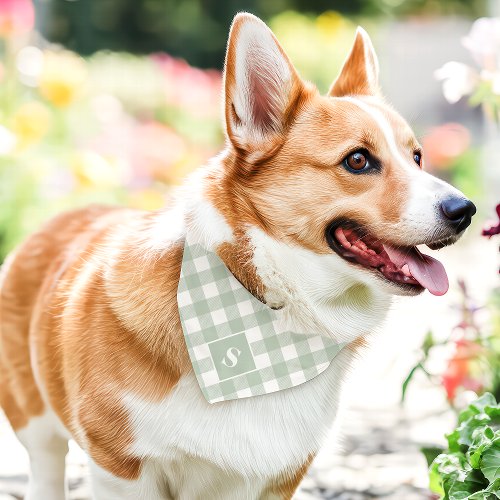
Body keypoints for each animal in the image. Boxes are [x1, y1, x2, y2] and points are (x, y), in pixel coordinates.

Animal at [0, 10, 476, 500]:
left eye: (417, 157)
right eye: (358, 160)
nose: (465, 210)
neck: (264, 309)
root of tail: (65, 215)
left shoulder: (278, 477)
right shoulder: (122, 468)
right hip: (35, 426)